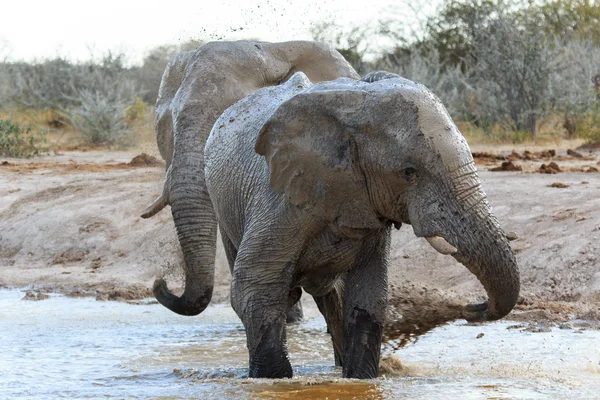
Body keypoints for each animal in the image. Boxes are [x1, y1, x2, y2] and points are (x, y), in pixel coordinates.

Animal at [203, 70, 520, 380]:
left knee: (333, 298)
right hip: (224, 209)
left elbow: (367, 294)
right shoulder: (279, 201)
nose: (471, 306)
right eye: (408, 172)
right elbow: (255, 287)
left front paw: (359, 380)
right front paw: (273, 382)